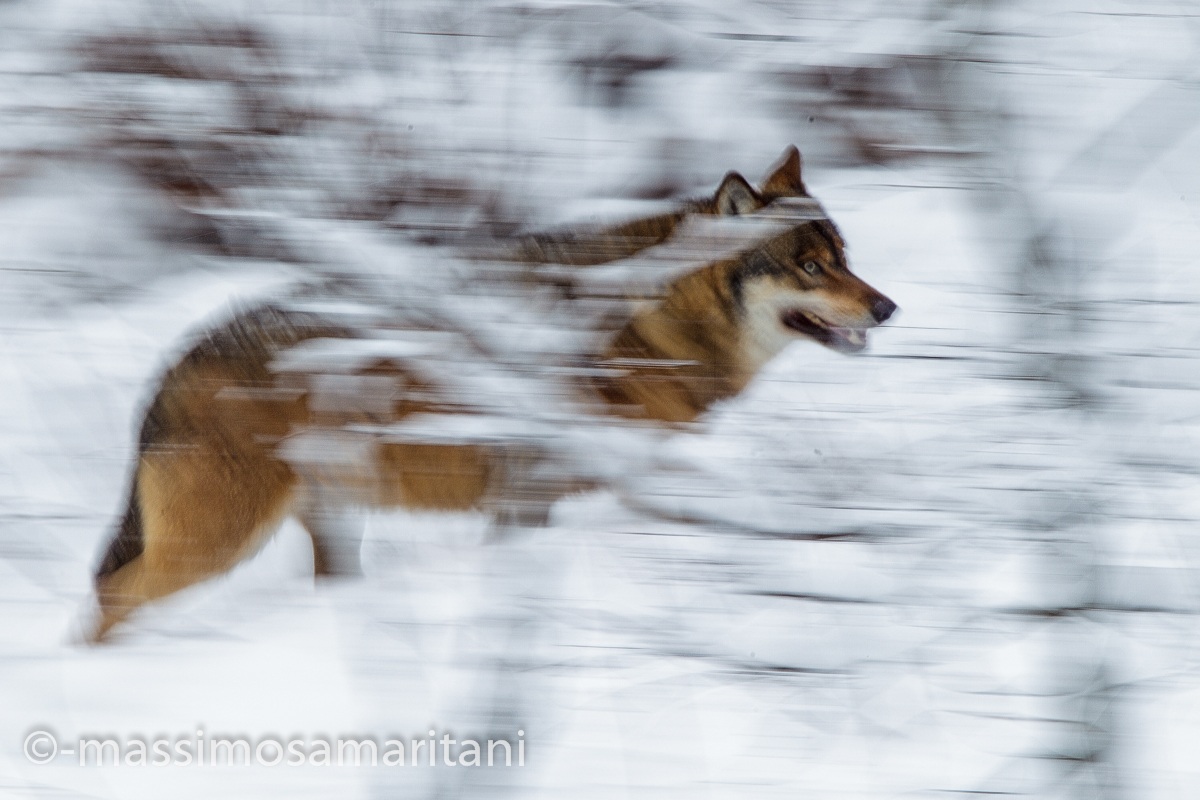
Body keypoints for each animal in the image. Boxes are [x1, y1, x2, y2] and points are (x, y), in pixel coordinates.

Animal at [89, 146, 896, 641]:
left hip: (332, 525)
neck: (653, 319)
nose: (888, 308)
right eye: (811, 267)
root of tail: (174, 362)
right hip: (216, 545)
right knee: (110, 599)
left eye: (845, 257)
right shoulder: (547, 490)